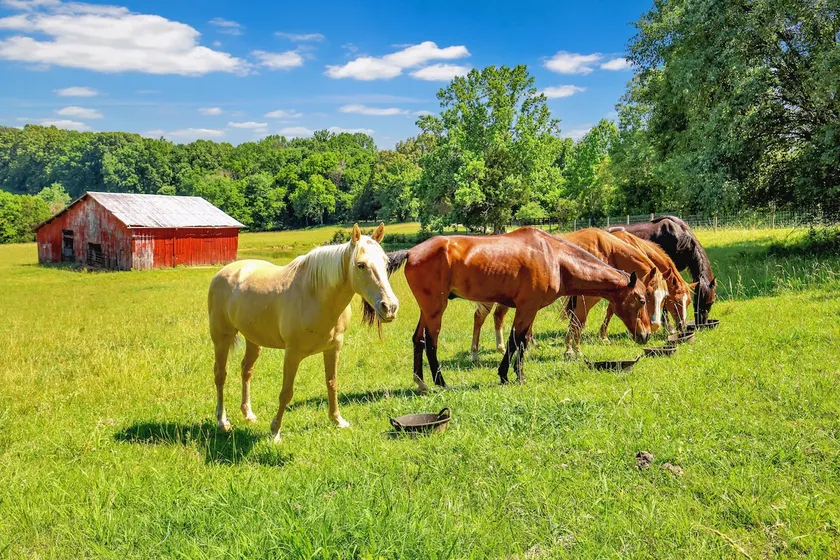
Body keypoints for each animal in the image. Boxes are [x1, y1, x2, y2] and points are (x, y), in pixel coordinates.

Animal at [208, 223, 399, 442]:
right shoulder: (292, 353)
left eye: (386, 262)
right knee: (220, 375)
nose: (390, 307)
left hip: (253, 340)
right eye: (360, 265)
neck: (315, 295)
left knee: (246, 371)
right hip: (221, 338)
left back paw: (248, 414)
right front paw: (275, 432)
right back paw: (222, 421)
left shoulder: (333, 348)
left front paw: (337, 420)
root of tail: (225, 272)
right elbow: (286, 392)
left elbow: (332, 383)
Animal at [470, 228, 667, 358]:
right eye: (646, 297)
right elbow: (579, 321)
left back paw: (504, 347)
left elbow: (579, 320)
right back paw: (477, 353)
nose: (652, 329)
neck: (606, 250)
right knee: (480, 317)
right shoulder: (587, 297)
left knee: (498, 316)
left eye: (664, 298)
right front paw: (573, 349)